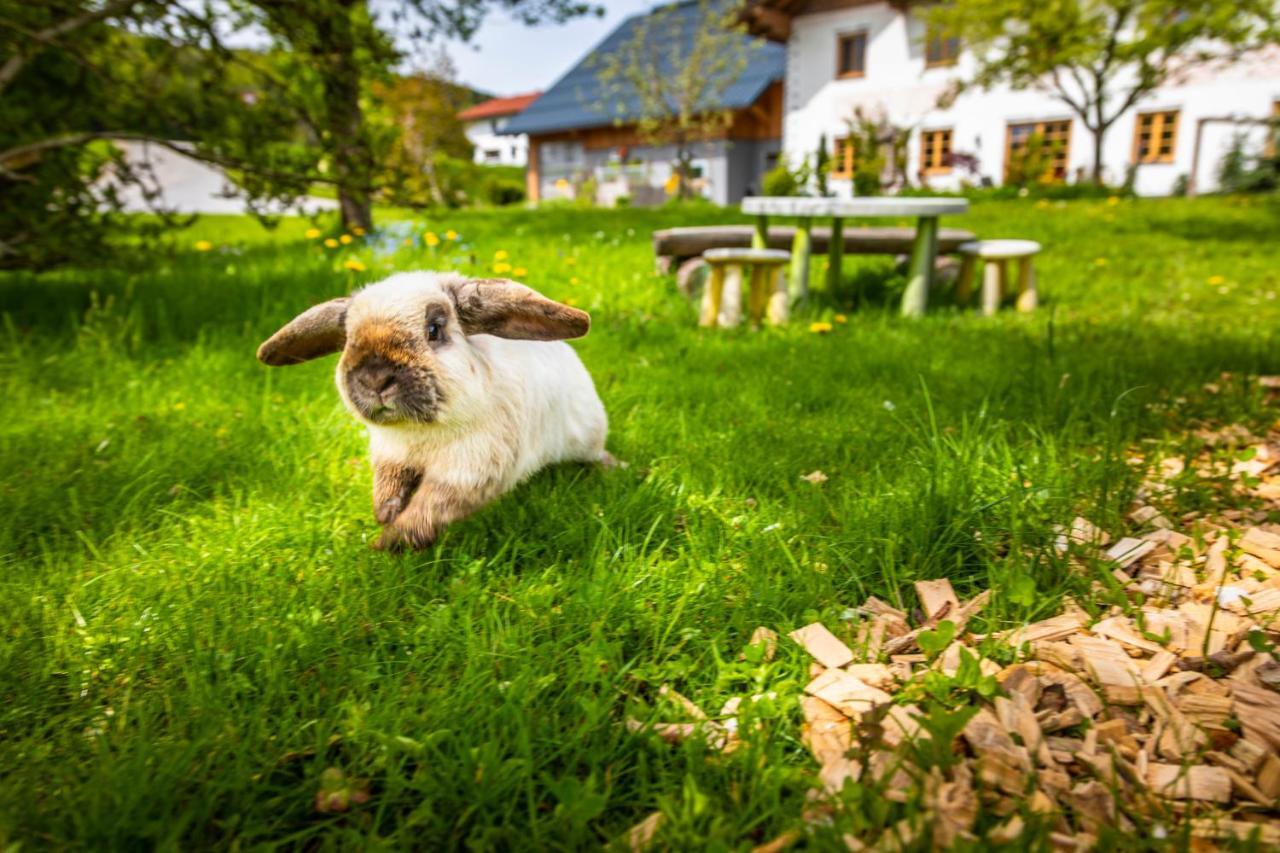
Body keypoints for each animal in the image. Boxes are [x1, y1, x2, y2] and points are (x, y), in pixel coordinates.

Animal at [257, 272, 611, 548]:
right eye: (348, 339)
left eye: (434, 330)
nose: (374, 378)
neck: (422, 431)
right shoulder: (391, 456)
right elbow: (389, 486)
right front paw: (384, 515)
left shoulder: (469, 470)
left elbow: (432, 506)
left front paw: (392, 540)